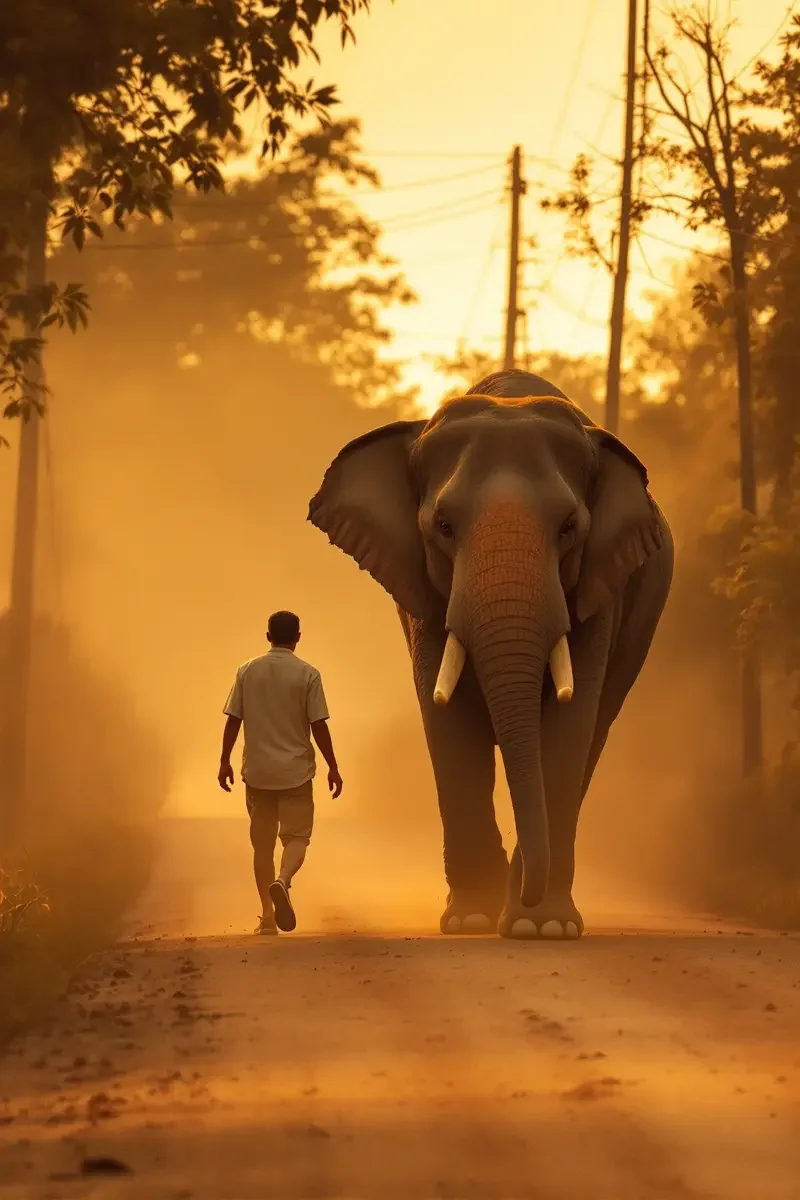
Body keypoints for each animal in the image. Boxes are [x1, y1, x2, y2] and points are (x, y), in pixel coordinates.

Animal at [308, 369, 674, 940]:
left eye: (569, 527)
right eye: (443, 526)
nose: (524, 898)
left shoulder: (600, 590)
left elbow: (569, 723)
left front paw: (542, 928)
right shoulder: (421, 591)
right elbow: (449, 718)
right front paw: (472, 920)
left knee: (596, 732)